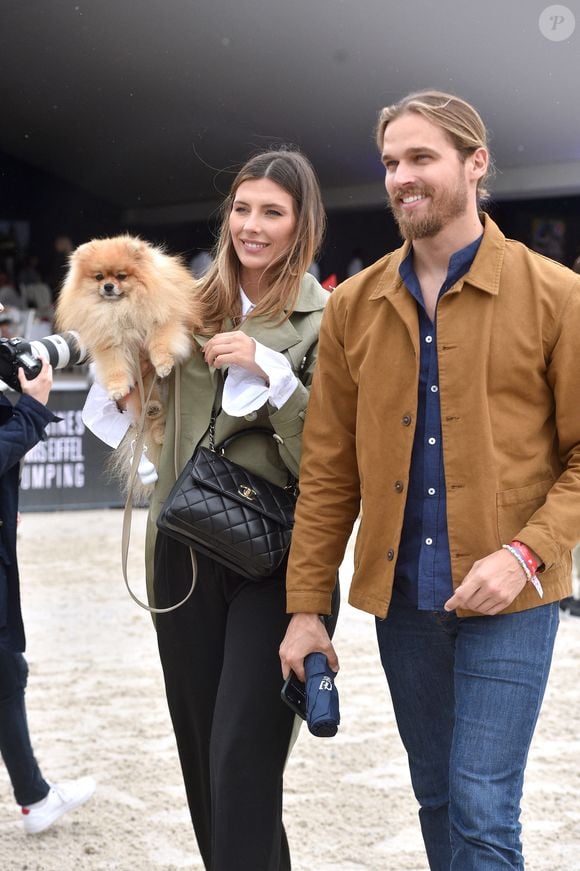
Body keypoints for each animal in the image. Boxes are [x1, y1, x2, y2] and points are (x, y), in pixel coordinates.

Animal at [55, 235, 203, 490]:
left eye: (121, 276)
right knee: (152, 418)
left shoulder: (162, 319)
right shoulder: (111, 344)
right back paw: (154, 413)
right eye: (99, 277)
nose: (108, 286)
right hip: (145, 392)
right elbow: (115, 368)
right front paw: (116, 388)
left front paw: (163, 363)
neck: (121, 308)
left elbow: (161, 342)